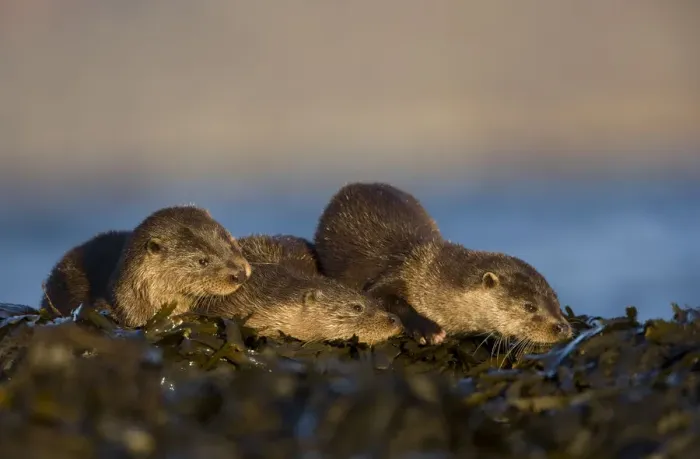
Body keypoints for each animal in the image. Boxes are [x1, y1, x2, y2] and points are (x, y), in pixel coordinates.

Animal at [313, 182, 573, 347]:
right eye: (529, 306)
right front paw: (428, 330)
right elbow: (385, 298)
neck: (429, 279)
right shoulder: (398, 272)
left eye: (556, 300)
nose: (563, 328)